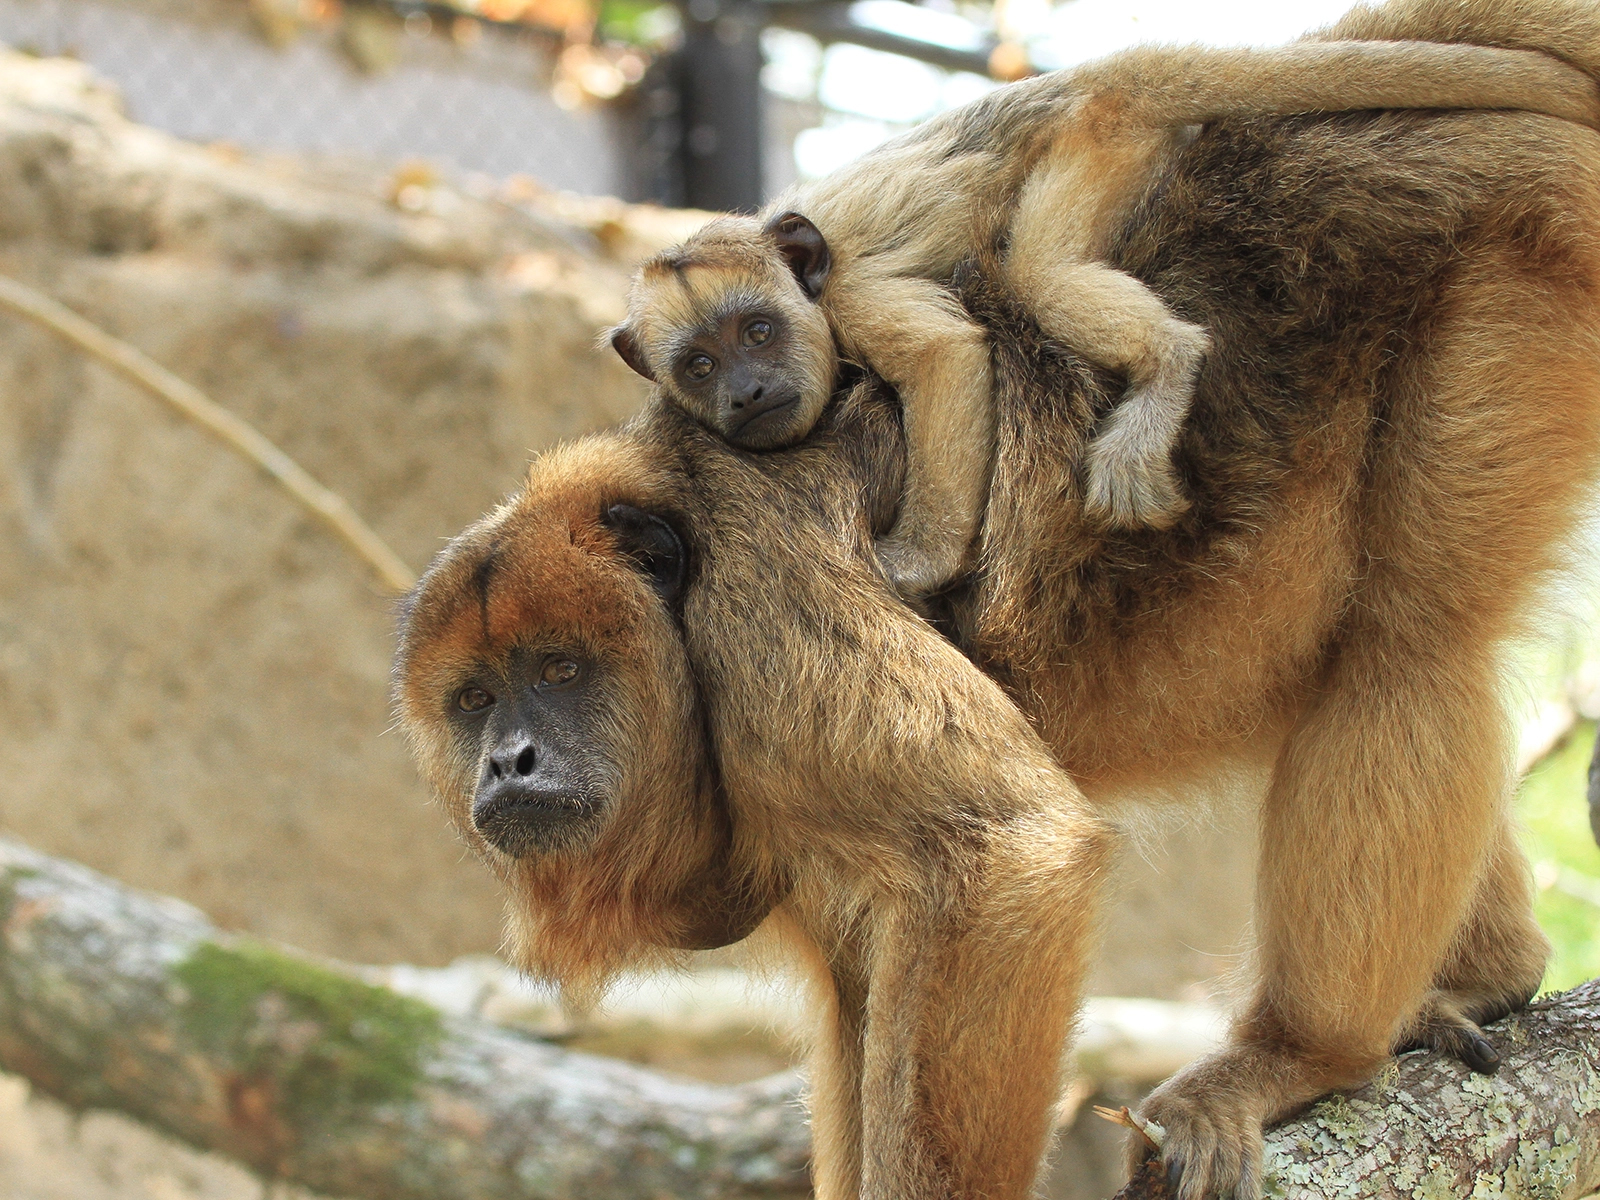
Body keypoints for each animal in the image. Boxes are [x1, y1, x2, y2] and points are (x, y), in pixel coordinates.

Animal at [605, 19, 1600, 597]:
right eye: (700, 363)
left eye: (758, 330)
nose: (744, 391)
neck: (809, 294)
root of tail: (1084, 77)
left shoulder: (854, 295)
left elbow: (946, 357)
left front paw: (920, 560)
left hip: (1095, 140)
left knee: (1038, 269)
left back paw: (1167, 368)